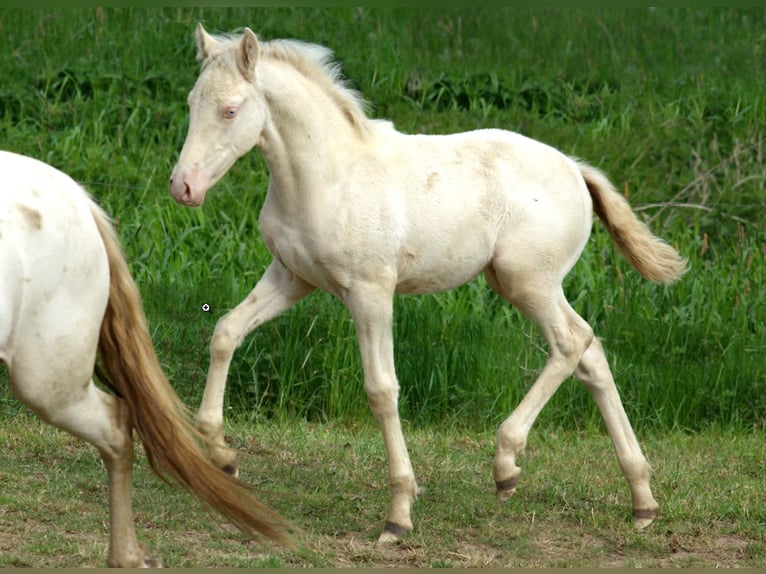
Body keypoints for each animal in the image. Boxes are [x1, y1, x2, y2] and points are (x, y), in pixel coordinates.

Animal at [170, 25, 688, 544]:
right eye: (193, 101)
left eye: (230, 110)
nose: (183, 188)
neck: (328, 177)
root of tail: (576, 170)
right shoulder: (292, 277)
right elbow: (226, 332)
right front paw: (223, 454)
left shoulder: (370, 292)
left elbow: (382, 390)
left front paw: (398, 513)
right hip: (523, 284)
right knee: (591, 354)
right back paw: (642, 499)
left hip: (528, 282)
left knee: (571, 342)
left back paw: (507, 464)